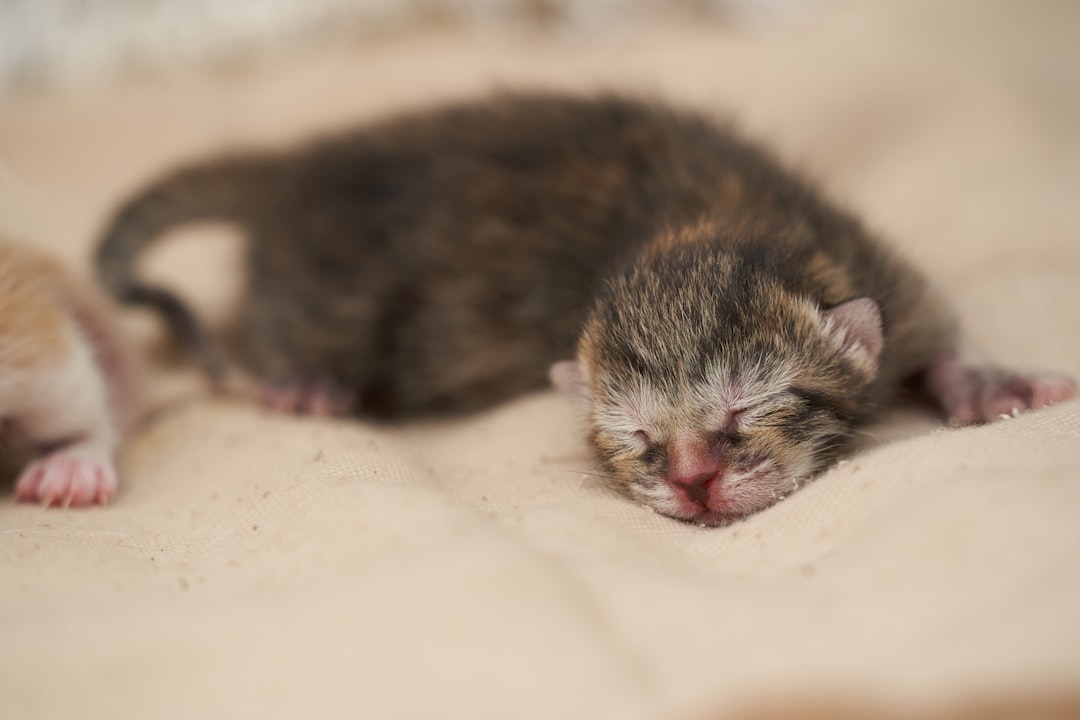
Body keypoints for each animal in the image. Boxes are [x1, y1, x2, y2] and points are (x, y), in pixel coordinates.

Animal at [92, 92, 1071, 526]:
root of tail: (296, 172)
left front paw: (989, 384)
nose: (693, 481)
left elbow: (937, 329)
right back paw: (300, 382)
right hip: (327, 301)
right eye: (637, 437)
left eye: (744, 410)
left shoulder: (873, 261)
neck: (709, 221)